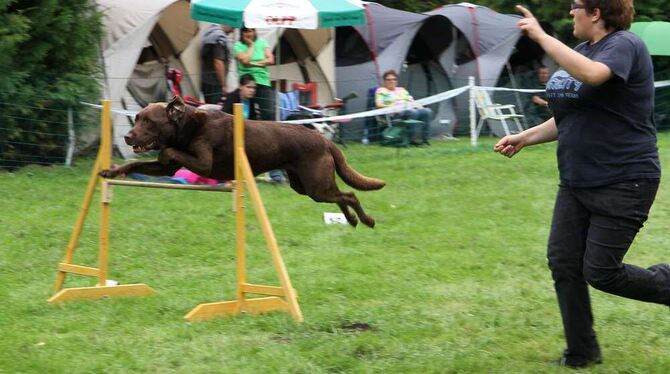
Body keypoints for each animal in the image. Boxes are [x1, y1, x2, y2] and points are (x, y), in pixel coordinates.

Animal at [97, 96, 386, 226]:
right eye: (137, 118)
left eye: (149, 122)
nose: (127, 136)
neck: (187, 126)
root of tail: (324, 138)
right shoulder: (165, 168)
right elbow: (135, 165)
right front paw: (110, 172)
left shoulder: (203, 162)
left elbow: (170, 152)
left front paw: (164, 150)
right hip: (304, 186)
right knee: (340, 195)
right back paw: (352, 221)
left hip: (316, 185)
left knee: (349, 194)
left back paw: (367, 220)